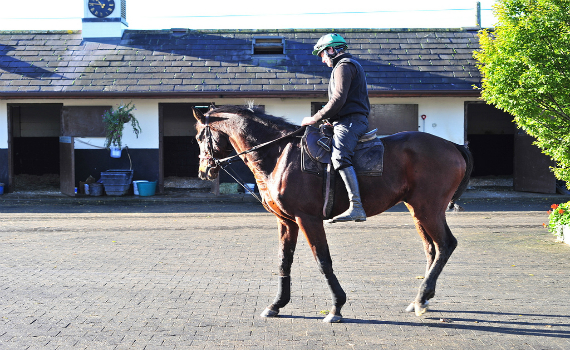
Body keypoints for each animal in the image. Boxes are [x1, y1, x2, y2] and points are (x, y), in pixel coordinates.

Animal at [193, 105, 472, 324]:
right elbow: (284, 261)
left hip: (429, 209)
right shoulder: (287, 222)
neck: (280, 153)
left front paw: (337, 306)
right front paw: (277, 304)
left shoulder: (308, 219)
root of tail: (452, 145)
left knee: (446, 245)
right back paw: (420, 299)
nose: (204, 170)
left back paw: (423, 296)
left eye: (199, 136)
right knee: (431, 249)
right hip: (417, 210)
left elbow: (323, 261)